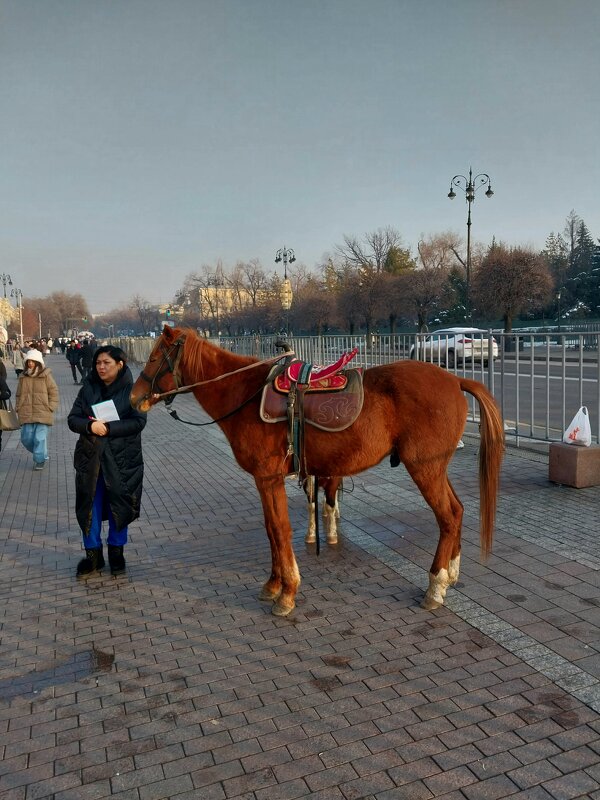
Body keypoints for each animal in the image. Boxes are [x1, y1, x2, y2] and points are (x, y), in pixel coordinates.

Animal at [131, 328, 502, 616]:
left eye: (154, 357)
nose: (134, 398)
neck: (246, 395)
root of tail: (454, 378)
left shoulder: (268, 478)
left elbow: (279, 530)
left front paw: (287, 592)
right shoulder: (266, 481)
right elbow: (270, 530)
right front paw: (273, 584)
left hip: (425, 468)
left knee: (448, 516)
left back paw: (436, 585)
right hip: (436, 467)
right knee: (457, 510)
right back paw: (451, 574)